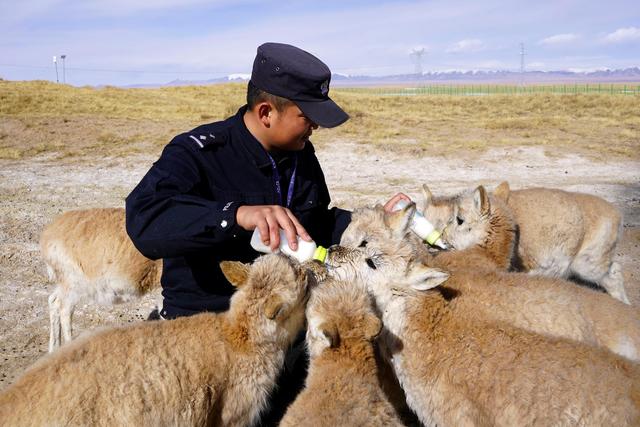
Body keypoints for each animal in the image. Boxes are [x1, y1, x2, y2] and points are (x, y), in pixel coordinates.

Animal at [424, 183, 629, 304]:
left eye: (459, 219)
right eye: (424, 216)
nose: (431, 243)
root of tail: (615, 213)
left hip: (588, 265)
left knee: (614, 274)